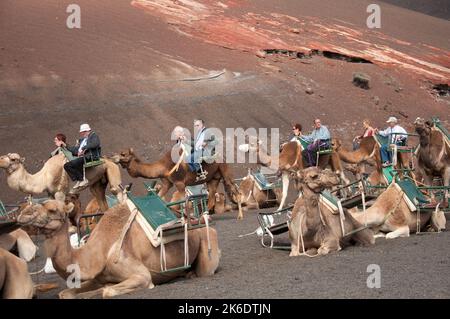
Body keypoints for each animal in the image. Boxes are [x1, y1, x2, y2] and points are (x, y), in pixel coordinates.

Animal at [16, 196, 221, 298]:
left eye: (52, 210)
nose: (23, 214)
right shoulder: (98, 277)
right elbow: (65, 293)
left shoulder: (141, 275)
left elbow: (107, 291)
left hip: (208, 246)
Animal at [111, 148, 243, 220]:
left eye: (123, 154)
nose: (112, 157)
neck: (164, 166)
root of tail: (222, 156)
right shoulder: (167, 183)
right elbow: (161, 198)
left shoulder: (180, 183)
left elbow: (180, 203)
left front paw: (185, 217)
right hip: (213, 179)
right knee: (211, 197)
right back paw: (204, 215)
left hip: (225, 170)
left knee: (234, 189)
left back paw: (239, 216)